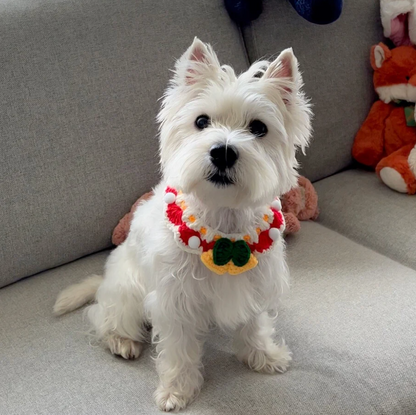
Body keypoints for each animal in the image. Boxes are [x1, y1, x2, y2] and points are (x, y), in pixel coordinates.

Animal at [52, 38, 312, 412]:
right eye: (201, 121)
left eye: (259, 128)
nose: (223, 152)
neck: (224, 224)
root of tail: (105, 279)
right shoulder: (174, 301)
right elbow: (178, 351)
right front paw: (176, 390)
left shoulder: (255, 285)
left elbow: (253, 326)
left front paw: (263, 356)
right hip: (127, 293)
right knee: (105, 318)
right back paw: (122, 342)